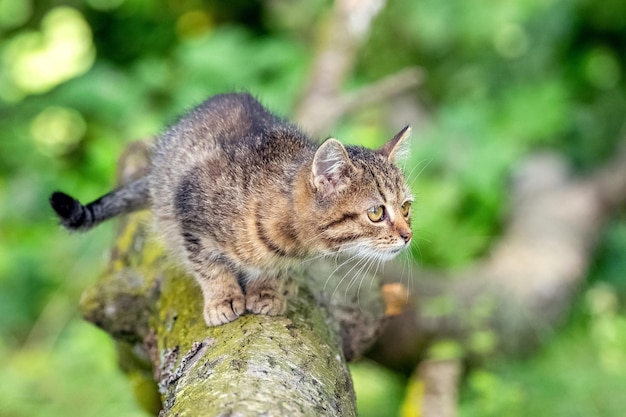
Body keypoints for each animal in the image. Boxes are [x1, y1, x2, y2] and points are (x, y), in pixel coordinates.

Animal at [51, 92, 412, 326]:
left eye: (406, 207)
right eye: (376, 213)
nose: (408, 235)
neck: (294, 242)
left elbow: (274, 270)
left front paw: (268, 289)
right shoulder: (190, 214)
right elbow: (210, 267)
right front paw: (222, 299)